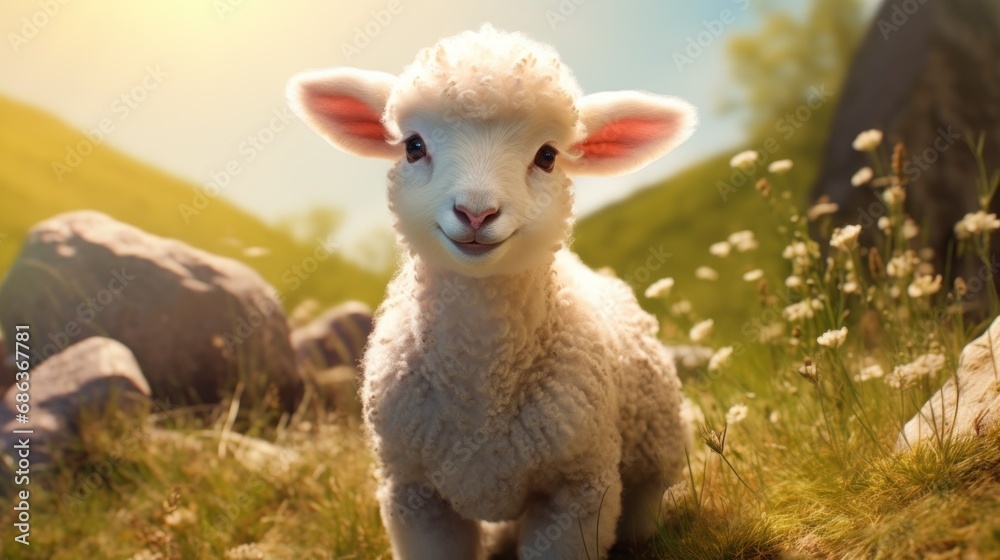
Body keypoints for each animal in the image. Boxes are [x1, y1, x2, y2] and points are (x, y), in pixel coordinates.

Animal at [288, 24, 696, 556]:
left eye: (547, 156)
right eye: (413, 146)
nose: (476, 212)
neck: (480, 388)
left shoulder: (578, 489)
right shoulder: (413, 492)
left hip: (655, 442)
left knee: (646, 502)